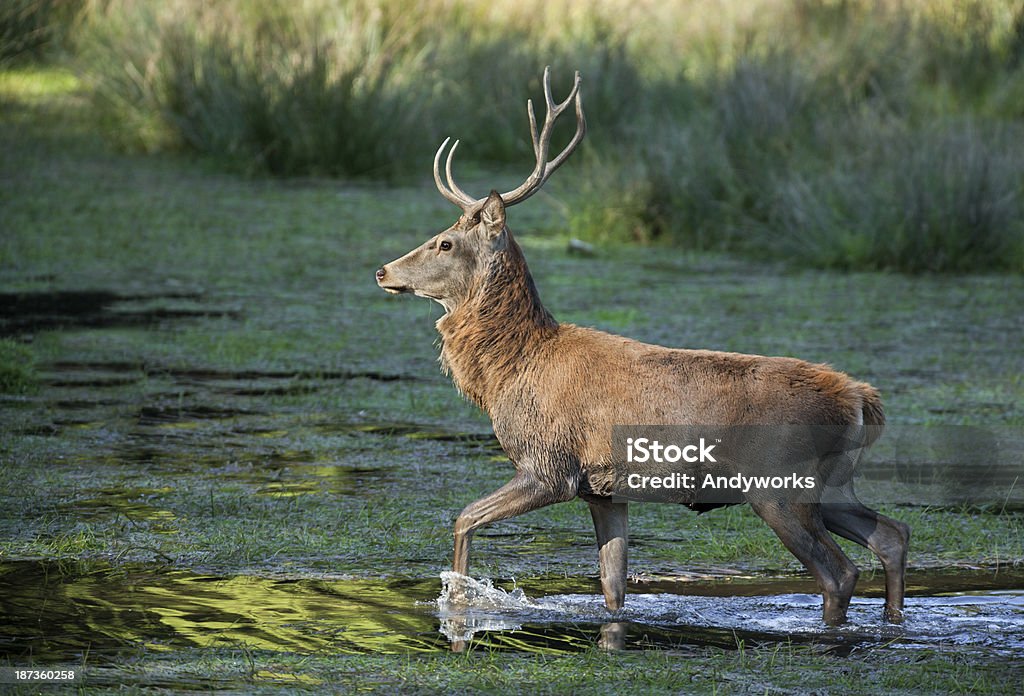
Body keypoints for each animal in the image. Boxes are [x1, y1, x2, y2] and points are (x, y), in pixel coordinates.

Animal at [372, 68, 909, 626]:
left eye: (445, 243)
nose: (383, 270)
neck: (510, 370)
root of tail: (861, 399)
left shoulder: (550, 466)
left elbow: (464, 517)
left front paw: (456, 601)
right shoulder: (604, 491)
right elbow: (613, 588)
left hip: (780, 487)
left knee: (840, 572)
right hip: (834, 484)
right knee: (893, 534)